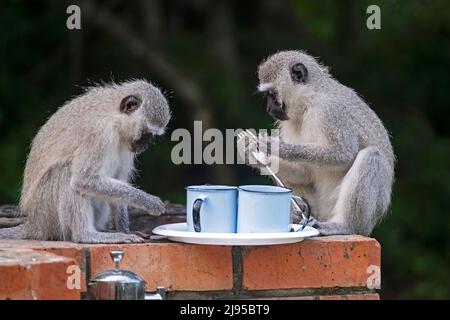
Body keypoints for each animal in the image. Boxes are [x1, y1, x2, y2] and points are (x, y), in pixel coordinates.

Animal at [0, 80, 171, 242]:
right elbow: (83, 180)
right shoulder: (98, 132)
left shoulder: (126, 144)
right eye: (146, 133)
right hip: (45, 212)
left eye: (151, 136)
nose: (145, 145)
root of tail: (33, 224)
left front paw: (125, 230)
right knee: (65, 171)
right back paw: (85, 235)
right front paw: (149, 202)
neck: (114, 119)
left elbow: (119, 180)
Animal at [239, 50, 394, 235]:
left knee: (371, 156)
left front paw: (275, 147)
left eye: (272, 94)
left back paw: (345, 225)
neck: (309, 101)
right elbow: (304, 172)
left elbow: (344, 154)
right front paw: (249, 153)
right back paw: (298, 216)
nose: (269, 108)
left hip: (360, 218)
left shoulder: (330, 110)